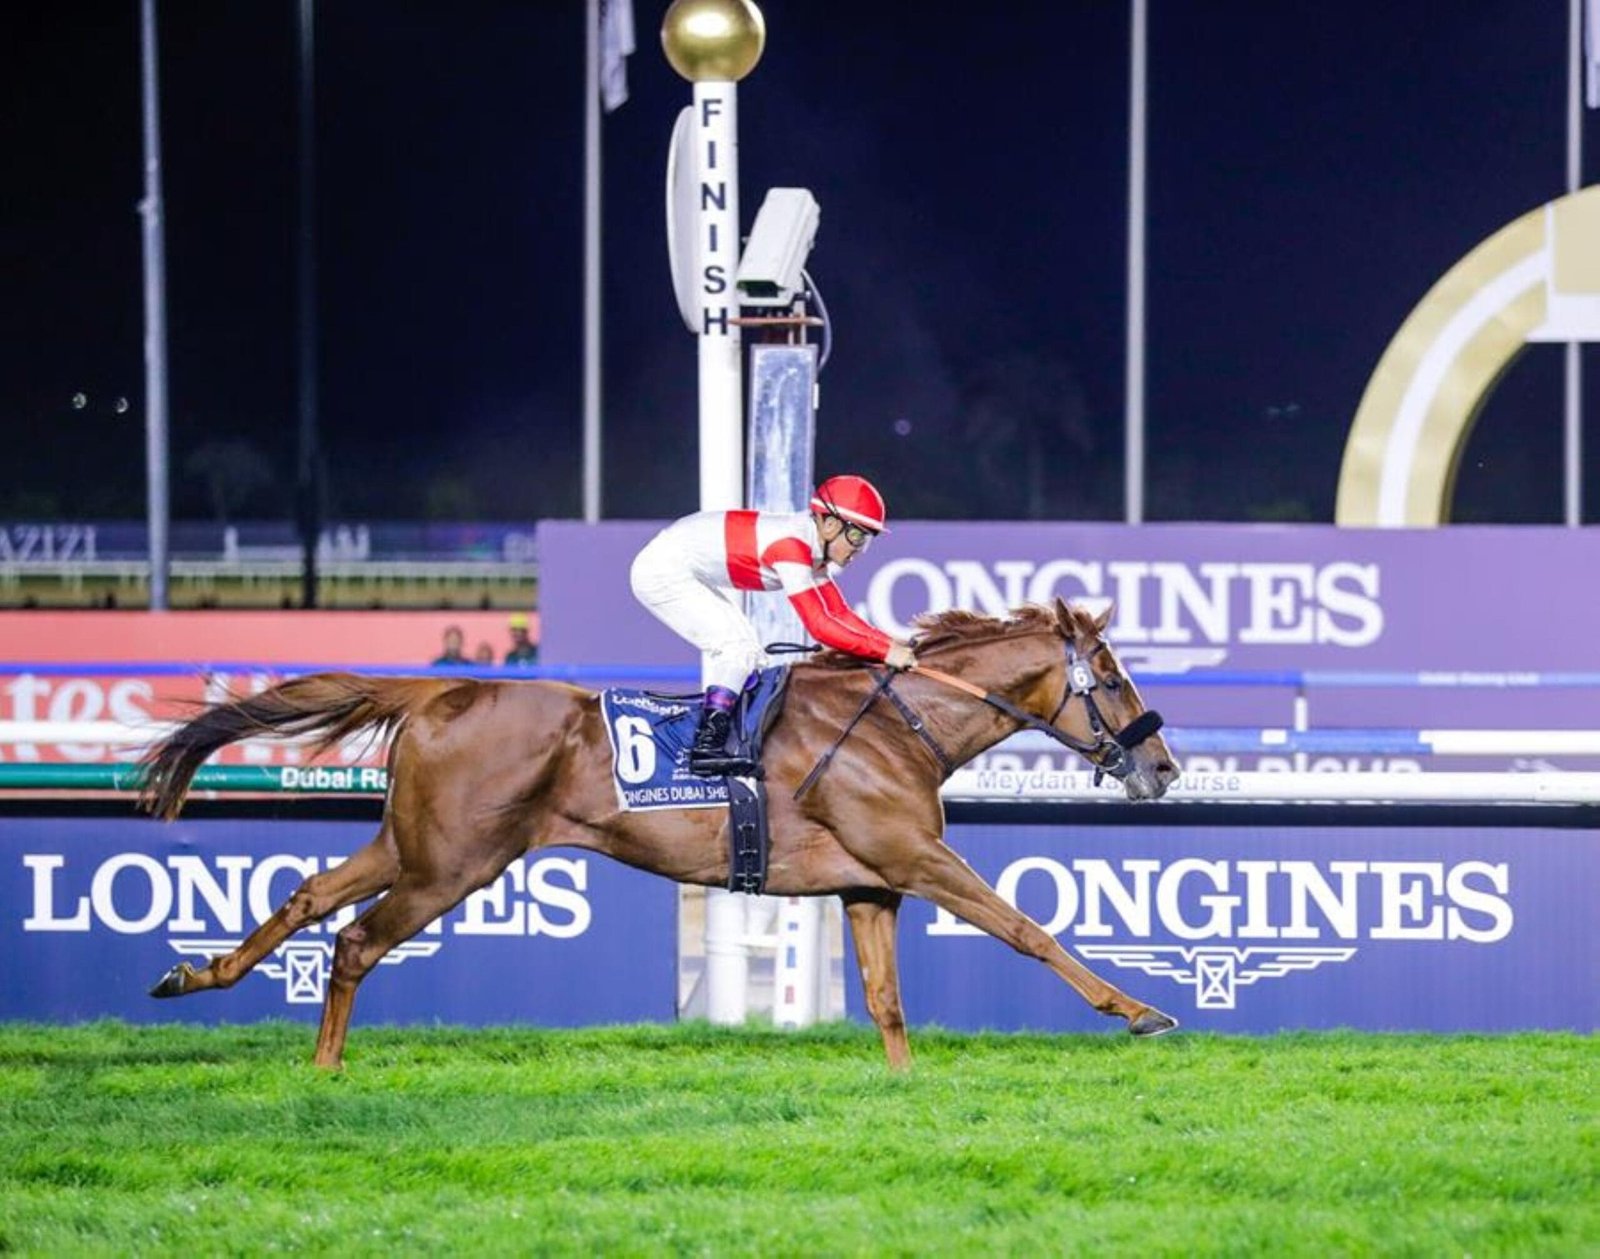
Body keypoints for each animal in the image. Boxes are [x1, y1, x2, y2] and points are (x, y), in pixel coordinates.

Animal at [138, 598, 1181, 1070]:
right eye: (1114, 677)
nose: (1165, 767)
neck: (898, 722)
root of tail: (437, 690)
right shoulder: (916, 857)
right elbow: (1027, 927)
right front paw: (1136, 1009)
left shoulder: (869, 882)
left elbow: (886, 1000)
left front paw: (904, 1084)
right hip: (455, 863)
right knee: (355, 939)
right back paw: (326, 1067)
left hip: (414, 844)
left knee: (311, 894)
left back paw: (197, 974)